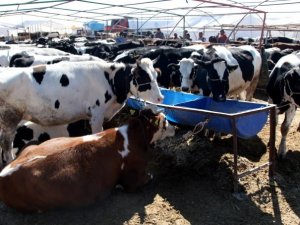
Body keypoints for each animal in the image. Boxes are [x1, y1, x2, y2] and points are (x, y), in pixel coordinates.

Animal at [0, 57, 164, 167]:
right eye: (142, 77)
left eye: (156, 76)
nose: (161, 98)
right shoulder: (97, 113)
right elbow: (97, 133)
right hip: (10, 117)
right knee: (6, 145)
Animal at [0, 108, 176, 211]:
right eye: (166, 121)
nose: (176, 128)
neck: (134, 135)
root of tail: (4, 173)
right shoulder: (133, 178)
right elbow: (144, 178)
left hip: (33, 144)